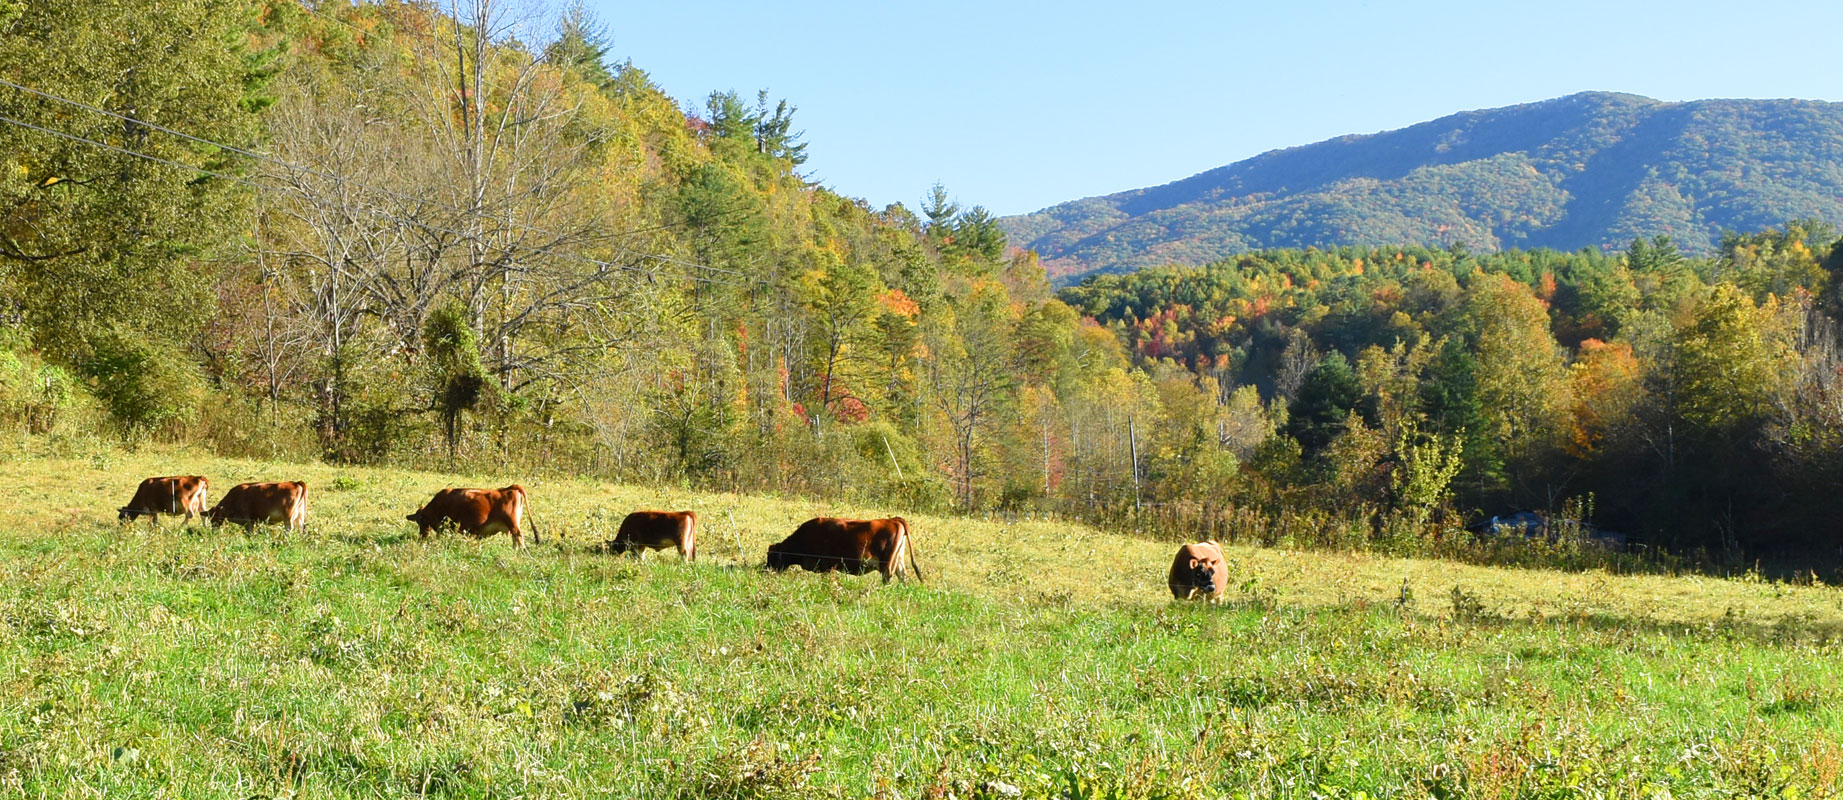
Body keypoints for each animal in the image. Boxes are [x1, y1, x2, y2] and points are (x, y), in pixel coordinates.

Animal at [766, 516, 923, 584]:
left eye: (772, 557)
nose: (765, 571)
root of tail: (893, 520)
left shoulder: (828, 566)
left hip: (887, 563)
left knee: (888, 577)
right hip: (898, 560)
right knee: (902, 576)